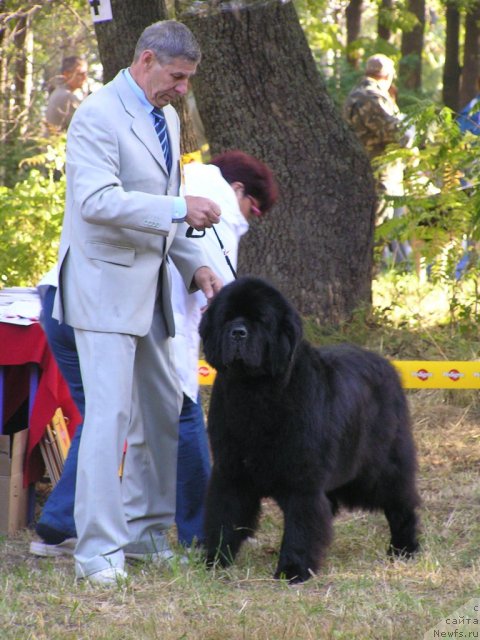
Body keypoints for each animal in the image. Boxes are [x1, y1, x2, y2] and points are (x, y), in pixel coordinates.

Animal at [199, 278, 420, 584]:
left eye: (261, 320)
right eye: (227, 317)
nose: (238, 333)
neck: (255, 391)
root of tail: (387, 365)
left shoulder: (302, 477)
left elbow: (301, 524)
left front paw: (293, 570)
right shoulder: (230, 470)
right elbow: (224, 516)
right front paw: (215, 560)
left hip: (379, 468)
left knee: (401, 503)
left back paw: (404, 548)